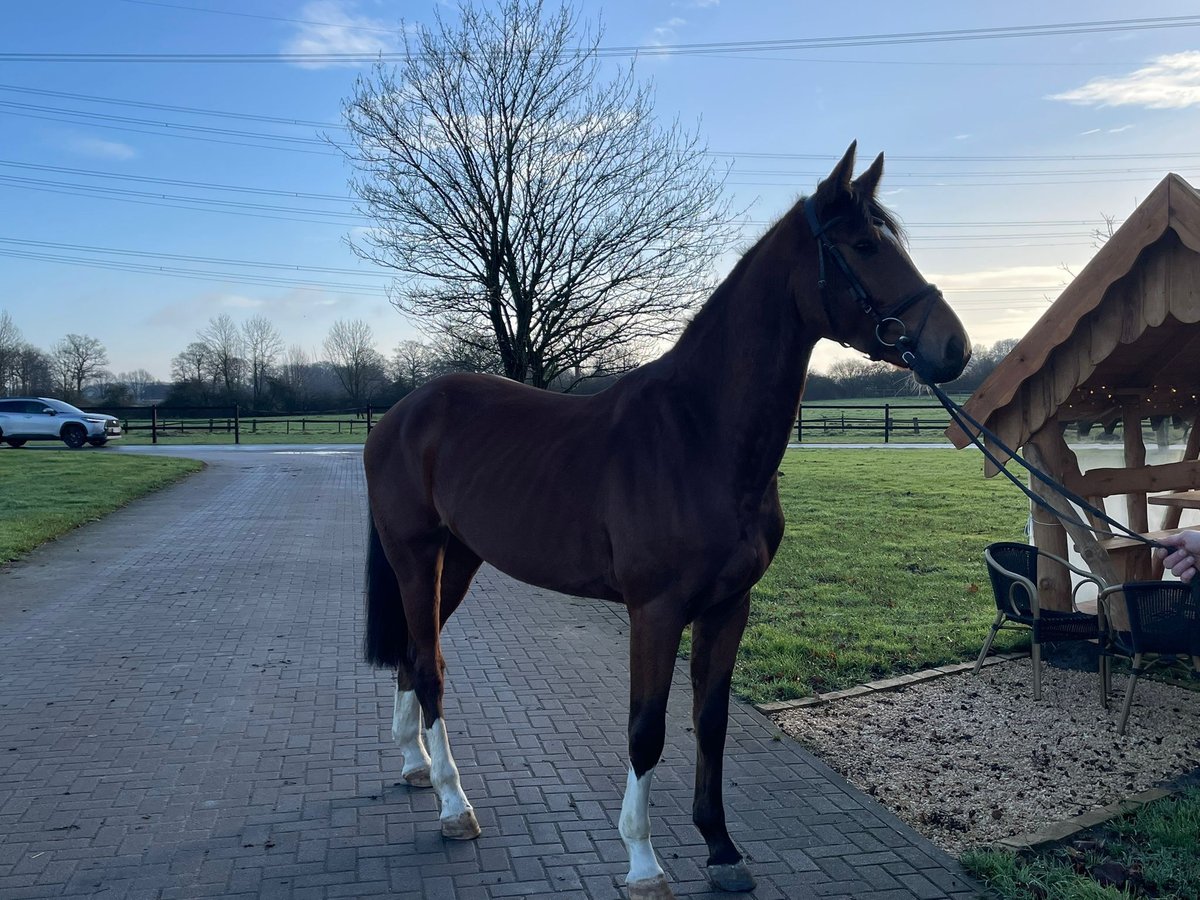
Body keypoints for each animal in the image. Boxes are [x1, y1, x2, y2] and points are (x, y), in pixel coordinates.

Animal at [360, 144, 969, 897]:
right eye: (864, 246)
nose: (955, 348)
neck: (700, 435)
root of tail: (400, 415)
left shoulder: (729, 607)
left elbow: (710, 720)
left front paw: (721, 848)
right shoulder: (655, 610)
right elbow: (646, 728)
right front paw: (643, 859)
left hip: (459, 561)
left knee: (415, 656)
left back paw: (417, 768)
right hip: (418, 558)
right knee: (430, 666)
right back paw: (453, 803)